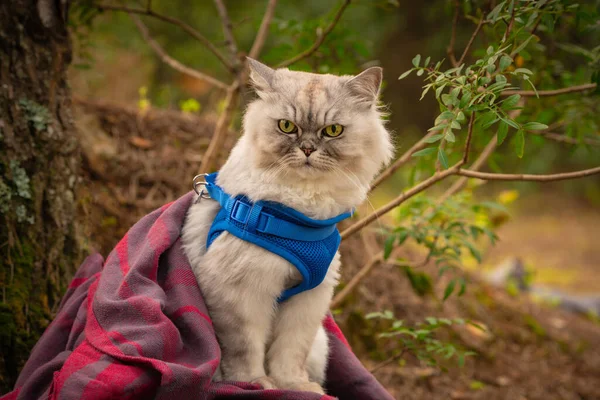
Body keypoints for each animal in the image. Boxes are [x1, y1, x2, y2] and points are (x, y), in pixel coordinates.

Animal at [182, 59, 394, 394]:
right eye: (286, 127)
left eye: (332, 131)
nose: (307, 149)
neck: (301, 216)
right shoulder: (240, 293)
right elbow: (244, 351)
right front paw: (257, 384)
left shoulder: (307, 301)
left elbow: (289, 352)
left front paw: (295, 386)